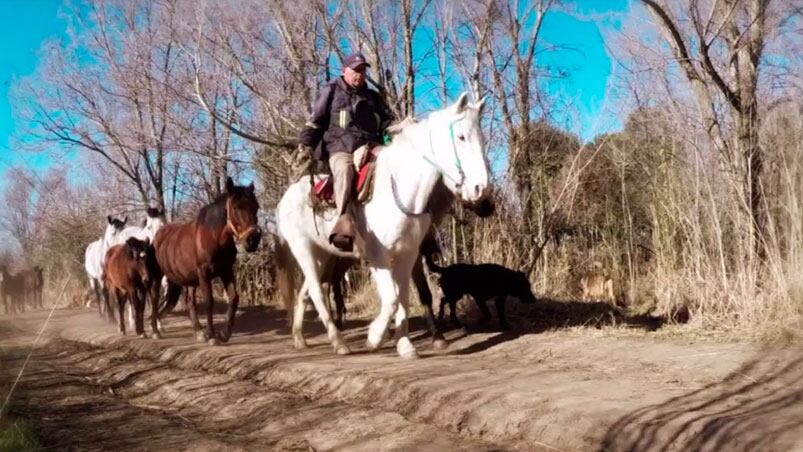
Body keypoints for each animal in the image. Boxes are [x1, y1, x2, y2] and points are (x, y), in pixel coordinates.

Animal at [154, 177, 260, 346]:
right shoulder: (204, 273)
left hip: (187, 280)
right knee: (154, 300)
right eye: (236, 207)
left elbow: (234, 298)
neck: (213, 237)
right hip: (158, 278)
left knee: (189, 301)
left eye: (256, 207)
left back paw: (198, 331)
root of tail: (157, 236)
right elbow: (209, 302)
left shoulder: (226, 271)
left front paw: (223, 334)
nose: (253, 240)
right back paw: (155, 330)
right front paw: (212, 336)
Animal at [276, 92, 490, 358]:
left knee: (305, 293)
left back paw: (299, 337)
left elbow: (405, 297)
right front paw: (375, 337)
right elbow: (391, 299)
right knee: (316, 292)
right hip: (303, 249)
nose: (481, 190)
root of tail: (285, 199)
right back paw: (339, 342)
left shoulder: (408, 255)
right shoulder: (378, 257)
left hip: (322, 254)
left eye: (482, 137)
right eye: (461, 137)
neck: (399, 189)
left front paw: (405, 344)